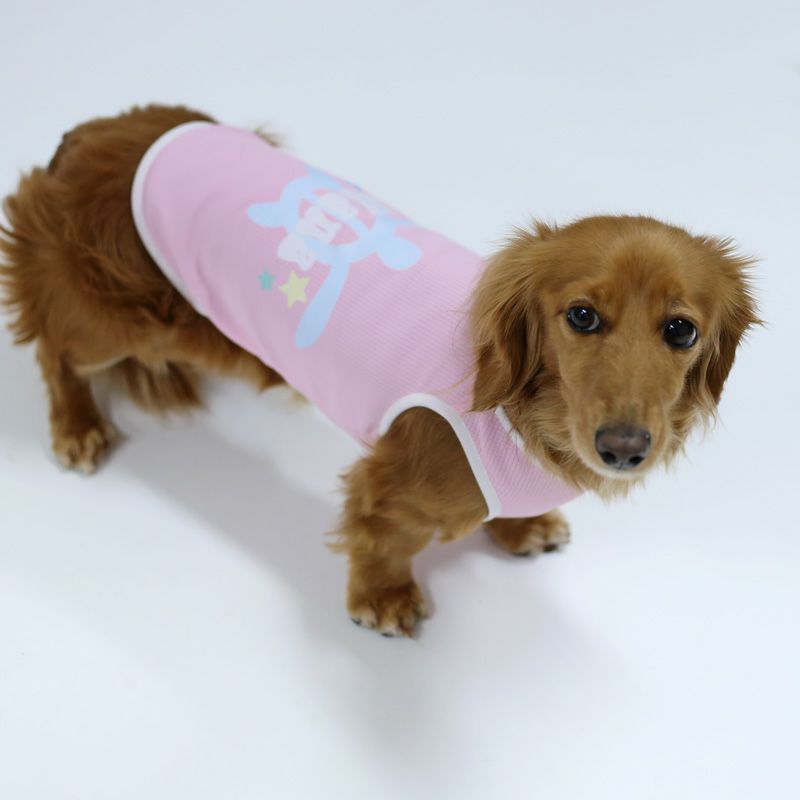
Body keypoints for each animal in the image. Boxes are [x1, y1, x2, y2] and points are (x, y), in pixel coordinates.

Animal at [0, 105, 759, 636]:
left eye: (681, 329)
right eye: (581, 316)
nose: (625, 449)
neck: (520, 416)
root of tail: (94, 132)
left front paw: (521, 527)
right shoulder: (397, 475)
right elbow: (383, 535)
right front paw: (384, 597)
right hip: (114, 314)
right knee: (55, 347)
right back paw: (76, 426)